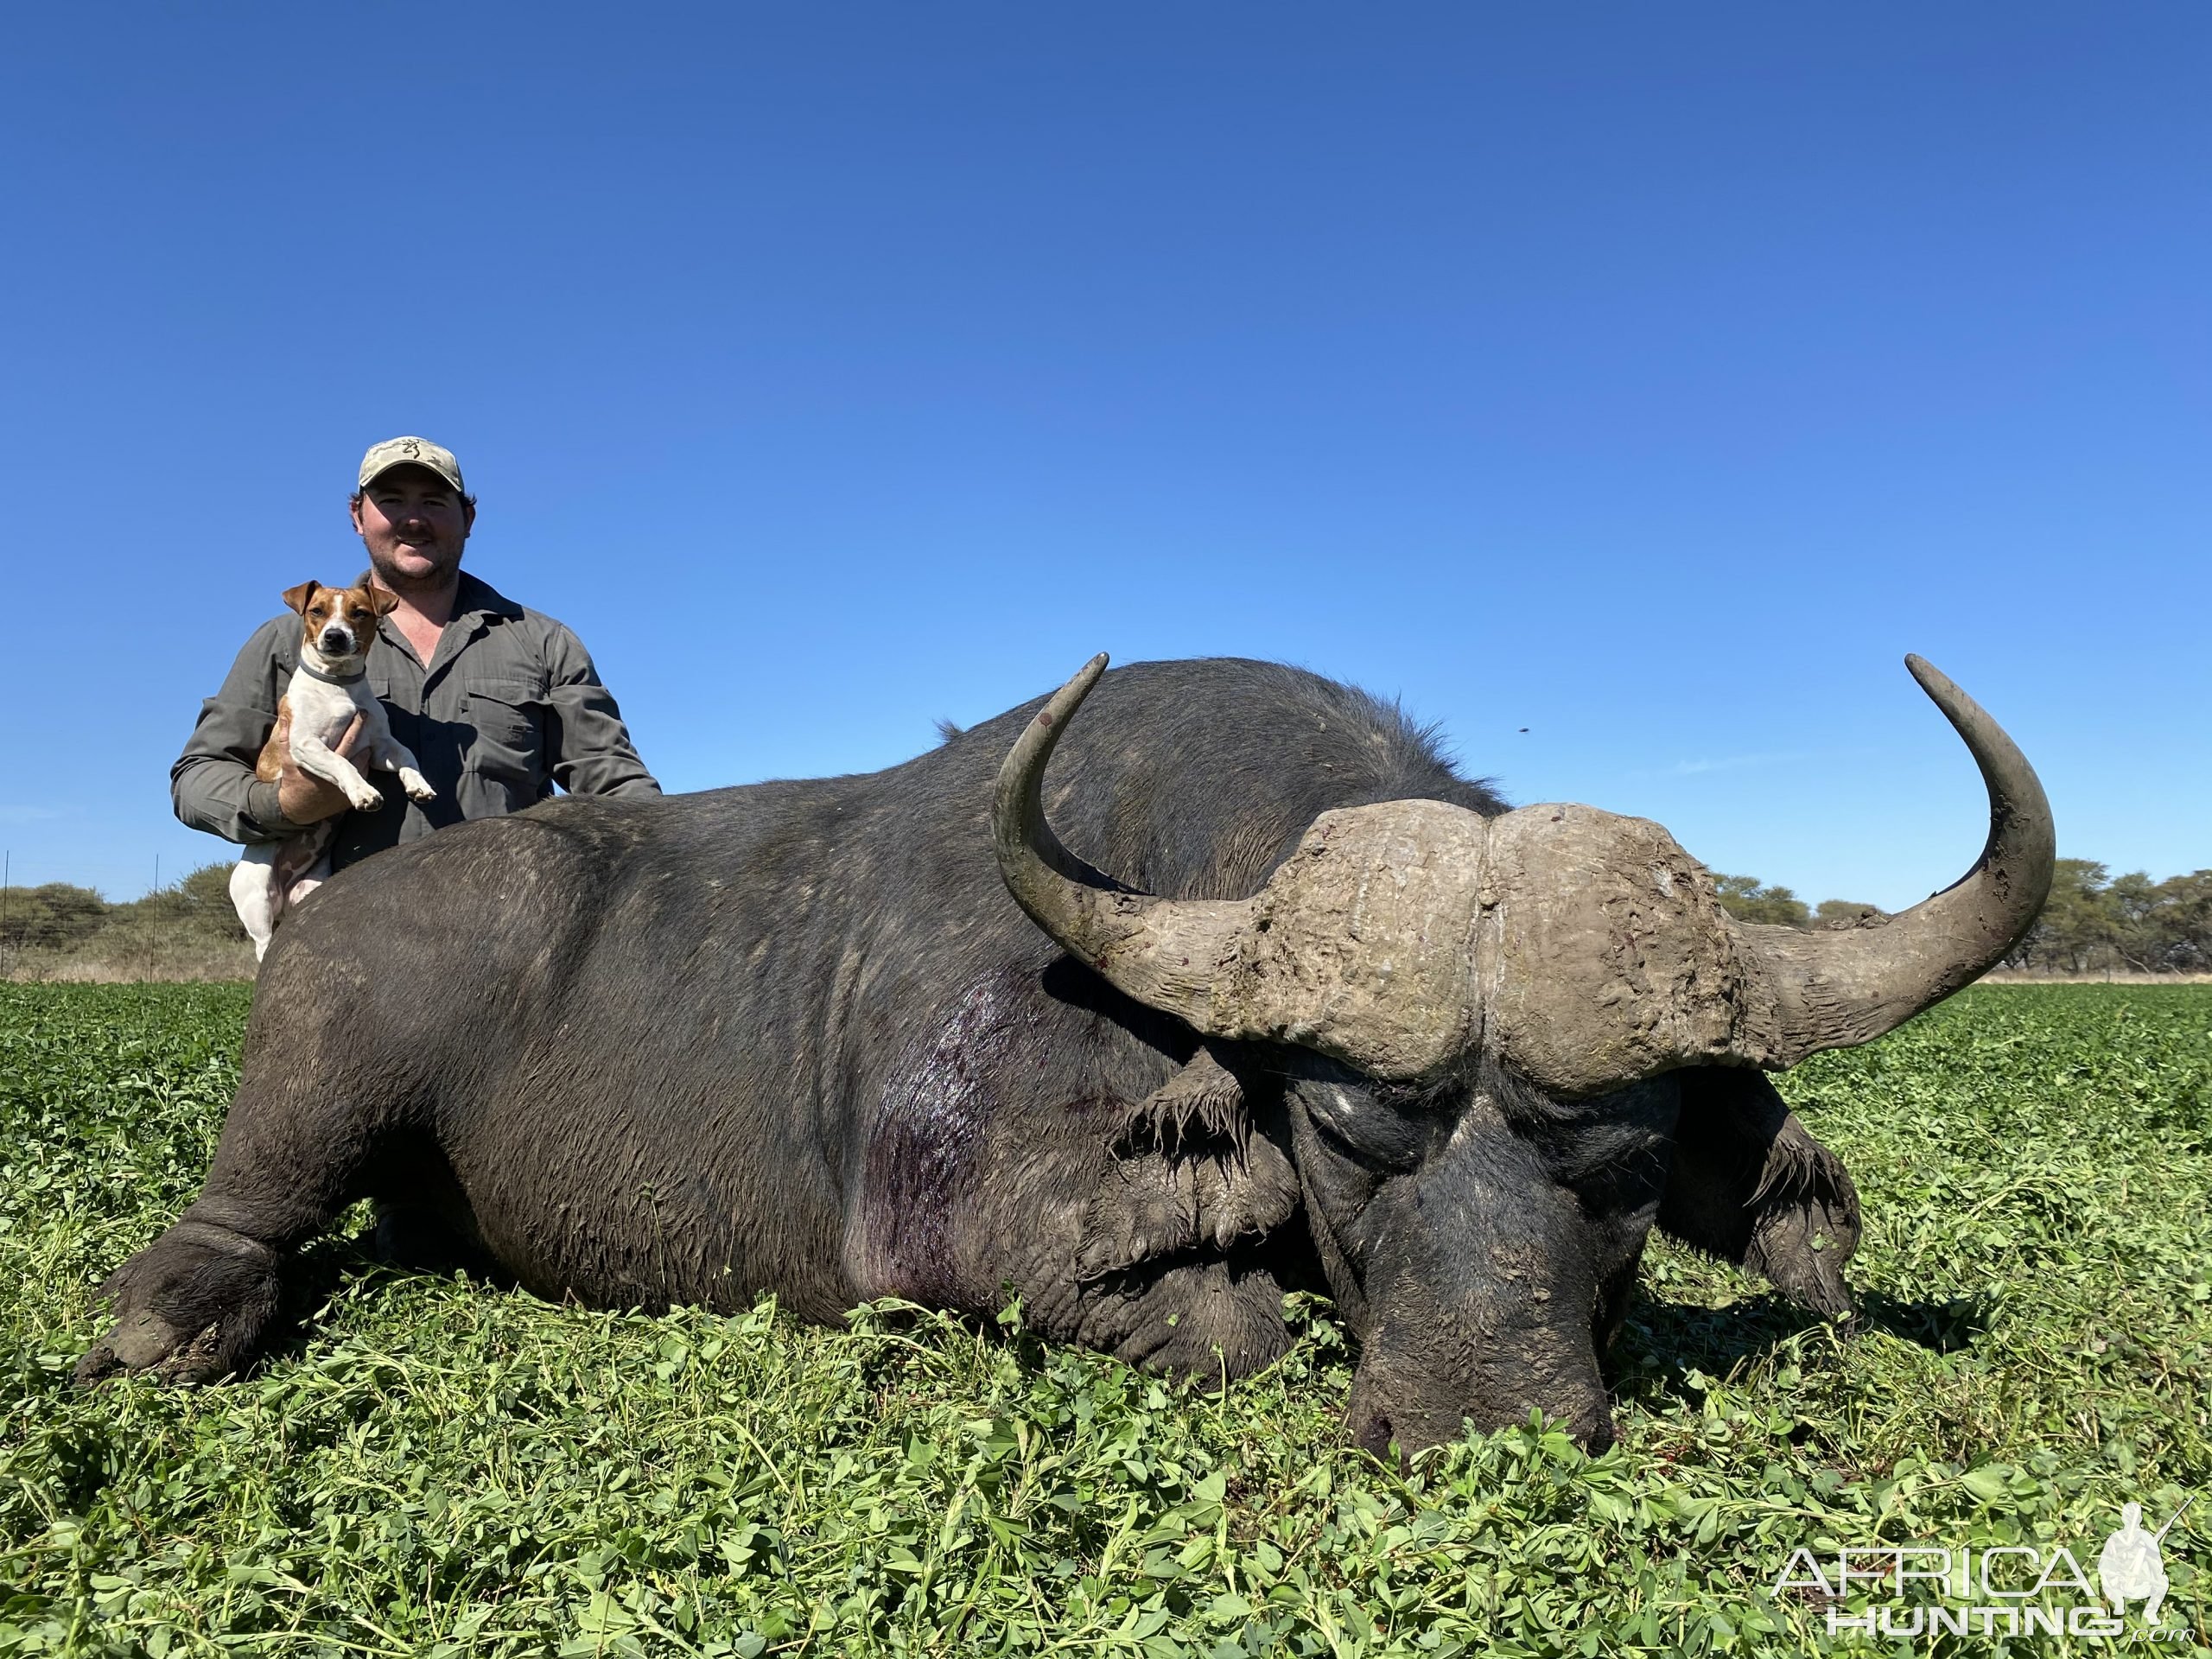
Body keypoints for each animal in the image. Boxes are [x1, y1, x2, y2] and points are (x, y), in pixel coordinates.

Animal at [86, 654, 2052, 1451]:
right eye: (1342, 1134)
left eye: (1631, 1167)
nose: (1479, 1418)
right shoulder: (951, 1234)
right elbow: (1236, 1331)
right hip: (326, 1066)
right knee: (241, 1220)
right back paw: (169, 1323)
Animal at [230, 579, 435, 960]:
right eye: (317, 611)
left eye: (360, 613)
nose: (335, 636)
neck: (338, 686)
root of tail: (285, 894)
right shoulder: (305, 745)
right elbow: (341, 762)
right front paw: (364, 792)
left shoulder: (379, 746)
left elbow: (407, 755)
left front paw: (419, 785)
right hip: (257, 896)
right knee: (264, 943)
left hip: (314, 889)